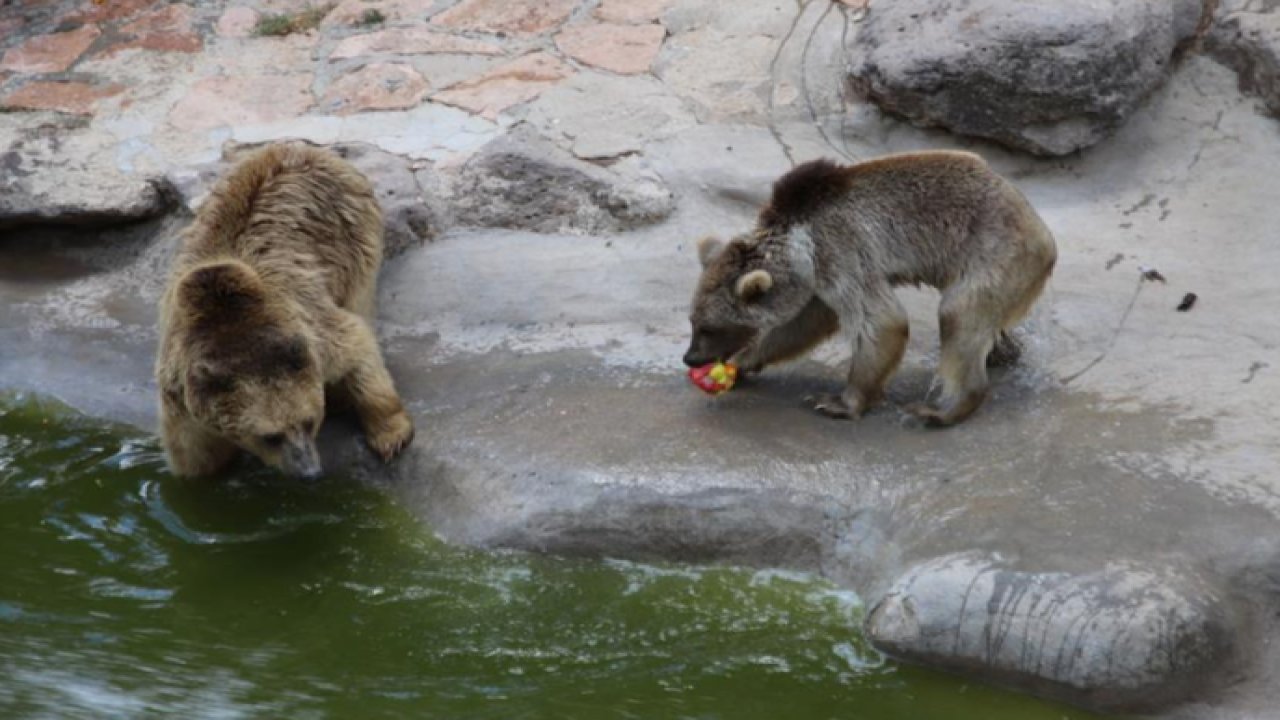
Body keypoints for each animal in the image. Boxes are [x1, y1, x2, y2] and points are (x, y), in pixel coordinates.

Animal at [152, 141, 414, 476]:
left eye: (309, 421)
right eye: (271, 436)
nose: (310, 470)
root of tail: (301, 146)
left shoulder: (311, 327)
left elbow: (357, 346)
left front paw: (390, 434)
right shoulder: (181, 399)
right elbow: (195, 459)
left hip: (351, 234)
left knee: (360, 299)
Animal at [686, 148, 1054, 422]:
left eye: (709, 327)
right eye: (693, 321)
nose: (690, 358)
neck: (799, 247)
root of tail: (1041, 228)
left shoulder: (842, 251)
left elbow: (880, 320)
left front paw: (836, 401)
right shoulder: (819, 282)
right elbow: (802, 326)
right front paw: (743, 362)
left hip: (992, 251)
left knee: (959, 315)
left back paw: (942, 408)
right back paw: (1002, 351)